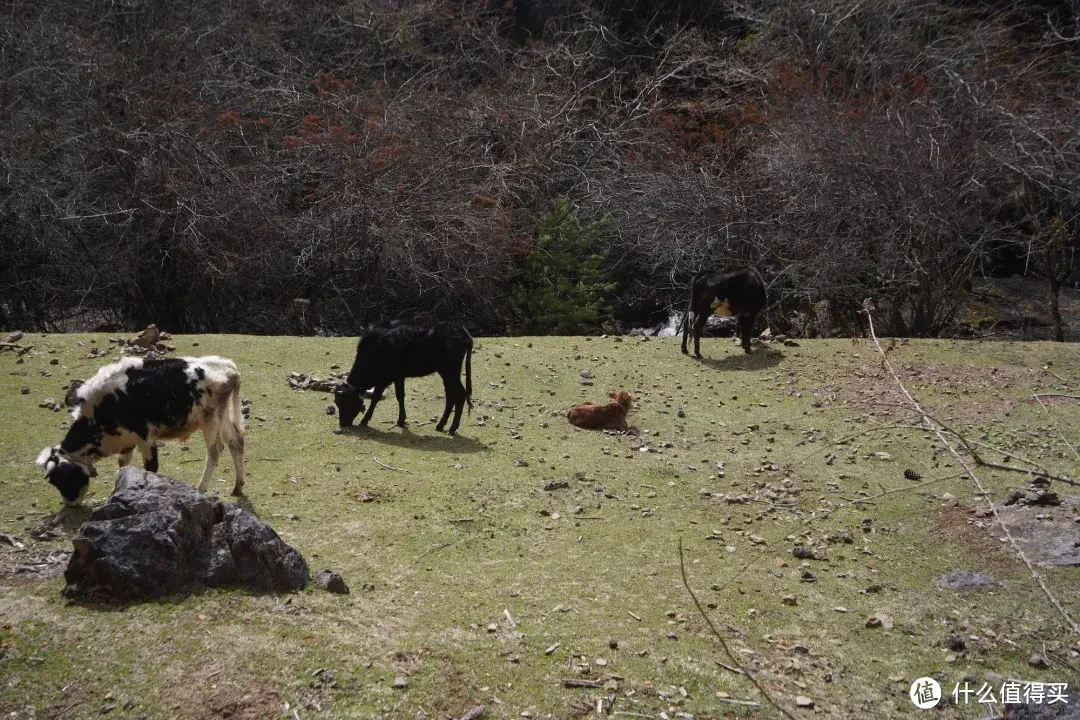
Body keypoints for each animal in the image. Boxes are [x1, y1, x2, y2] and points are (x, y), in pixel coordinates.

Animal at [332, 323, 473, 436]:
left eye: (347, 402)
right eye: (337, 403)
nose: (343, 424)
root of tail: (461, 330)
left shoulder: (385, 378)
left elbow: (376, 397)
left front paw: (365, 420)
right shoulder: (398, 376)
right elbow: (400, 396)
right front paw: (401, 420)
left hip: (450, 371)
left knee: (460, 394)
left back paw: (452, 427)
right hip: (447, 373)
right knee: (451, 395)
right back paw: (441, 425)